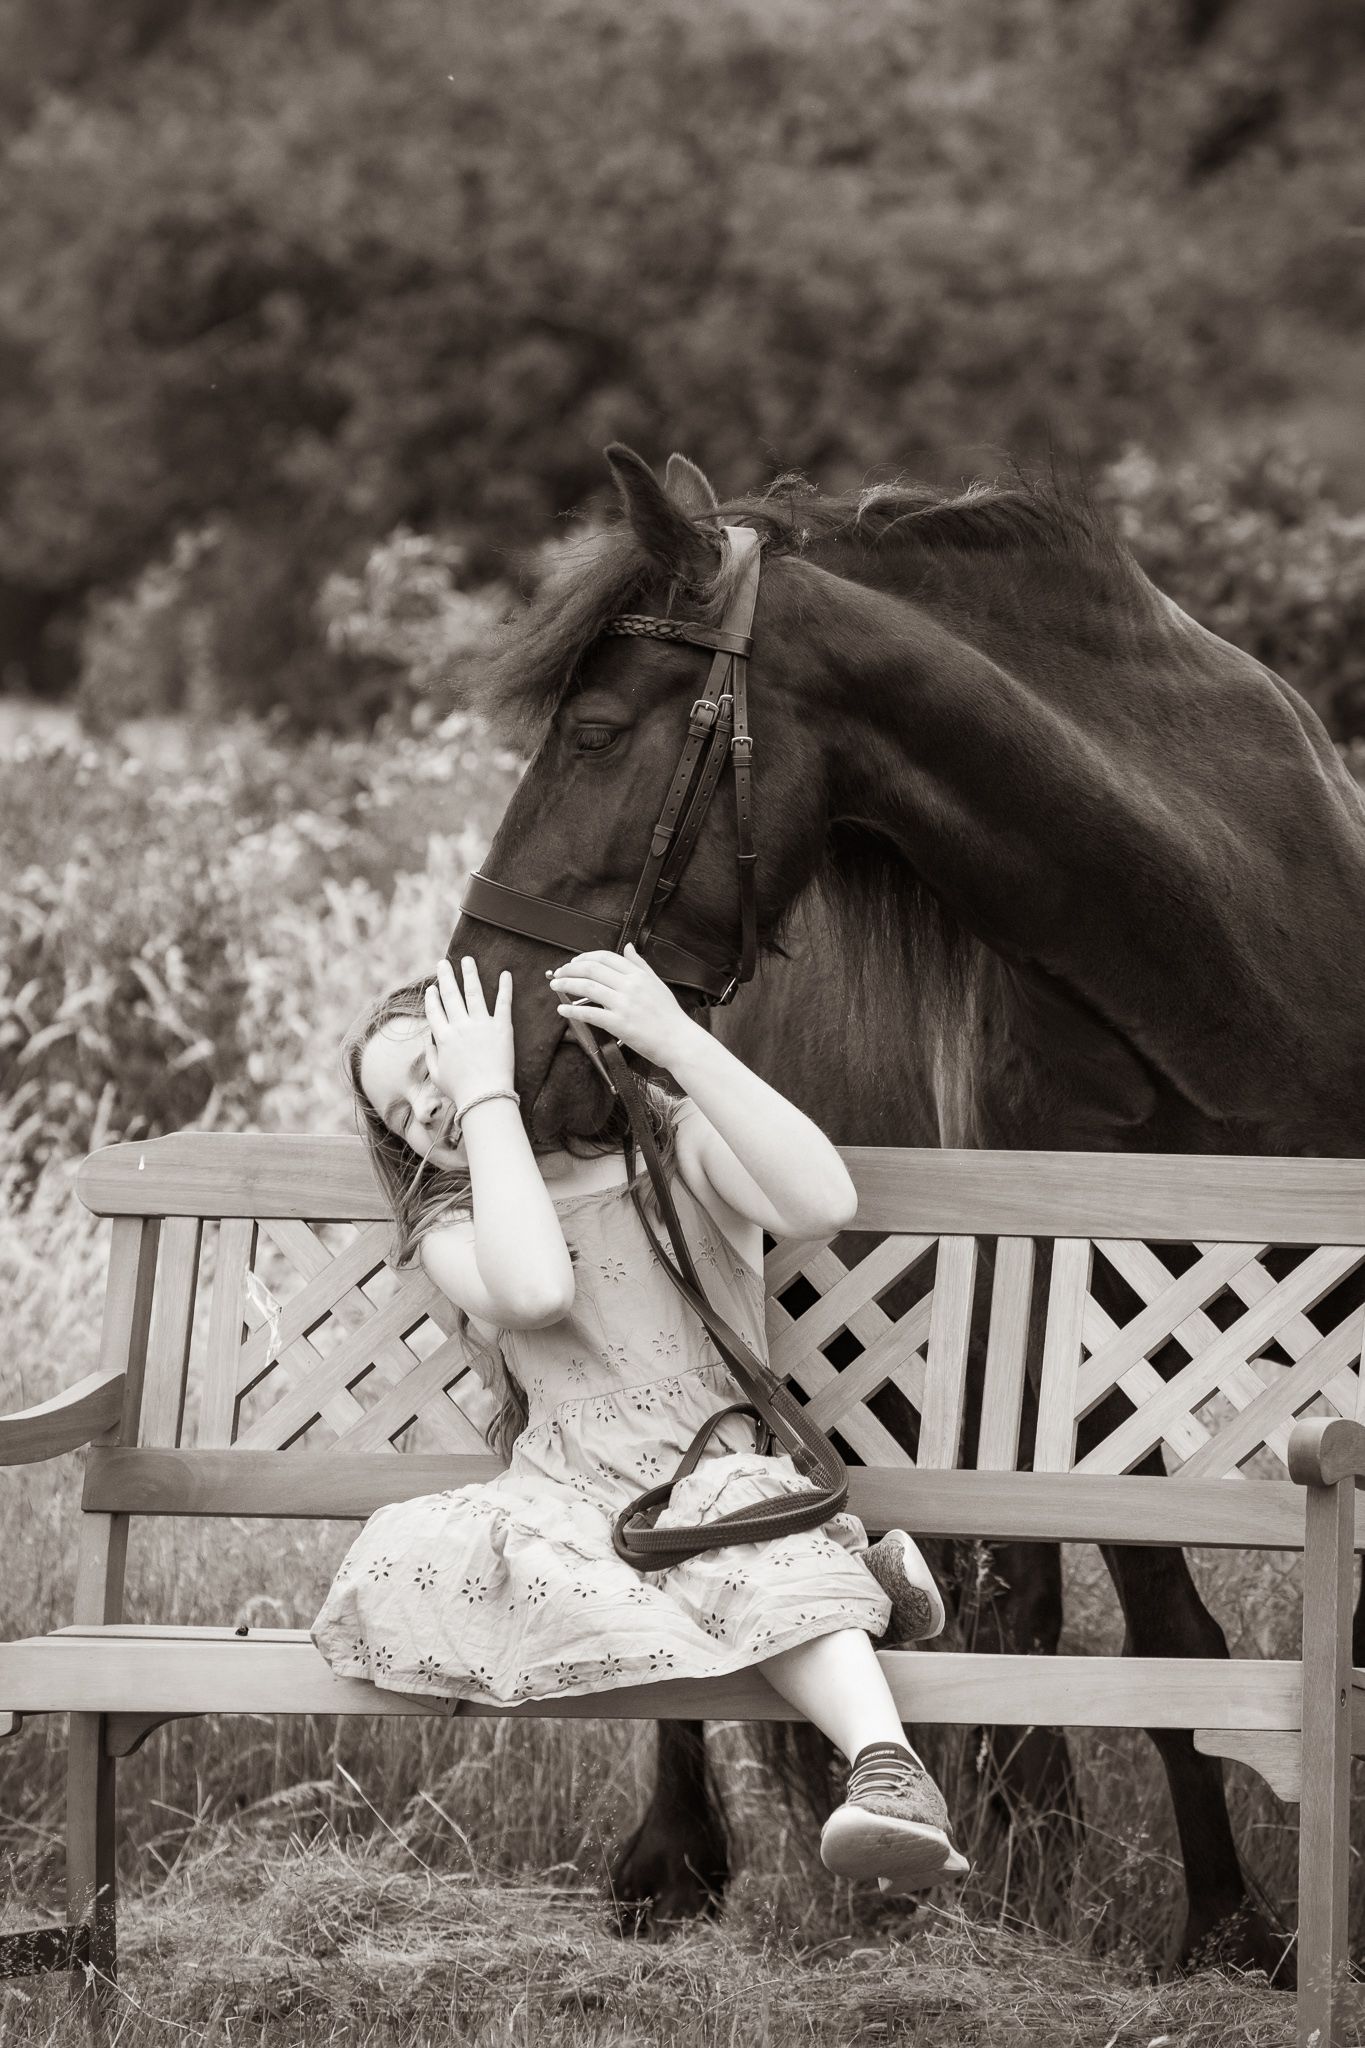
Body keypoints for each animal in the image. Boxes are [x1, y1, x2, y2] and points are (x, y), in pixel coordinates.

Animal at [446, 443, 1365, 1978]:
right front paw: (1228, 1924)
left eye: (596, 730)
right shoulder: (1091, 1343)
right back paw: (690, 1858)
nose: (487, 1018)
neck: (1215, 959)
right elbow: (1160, 1621)